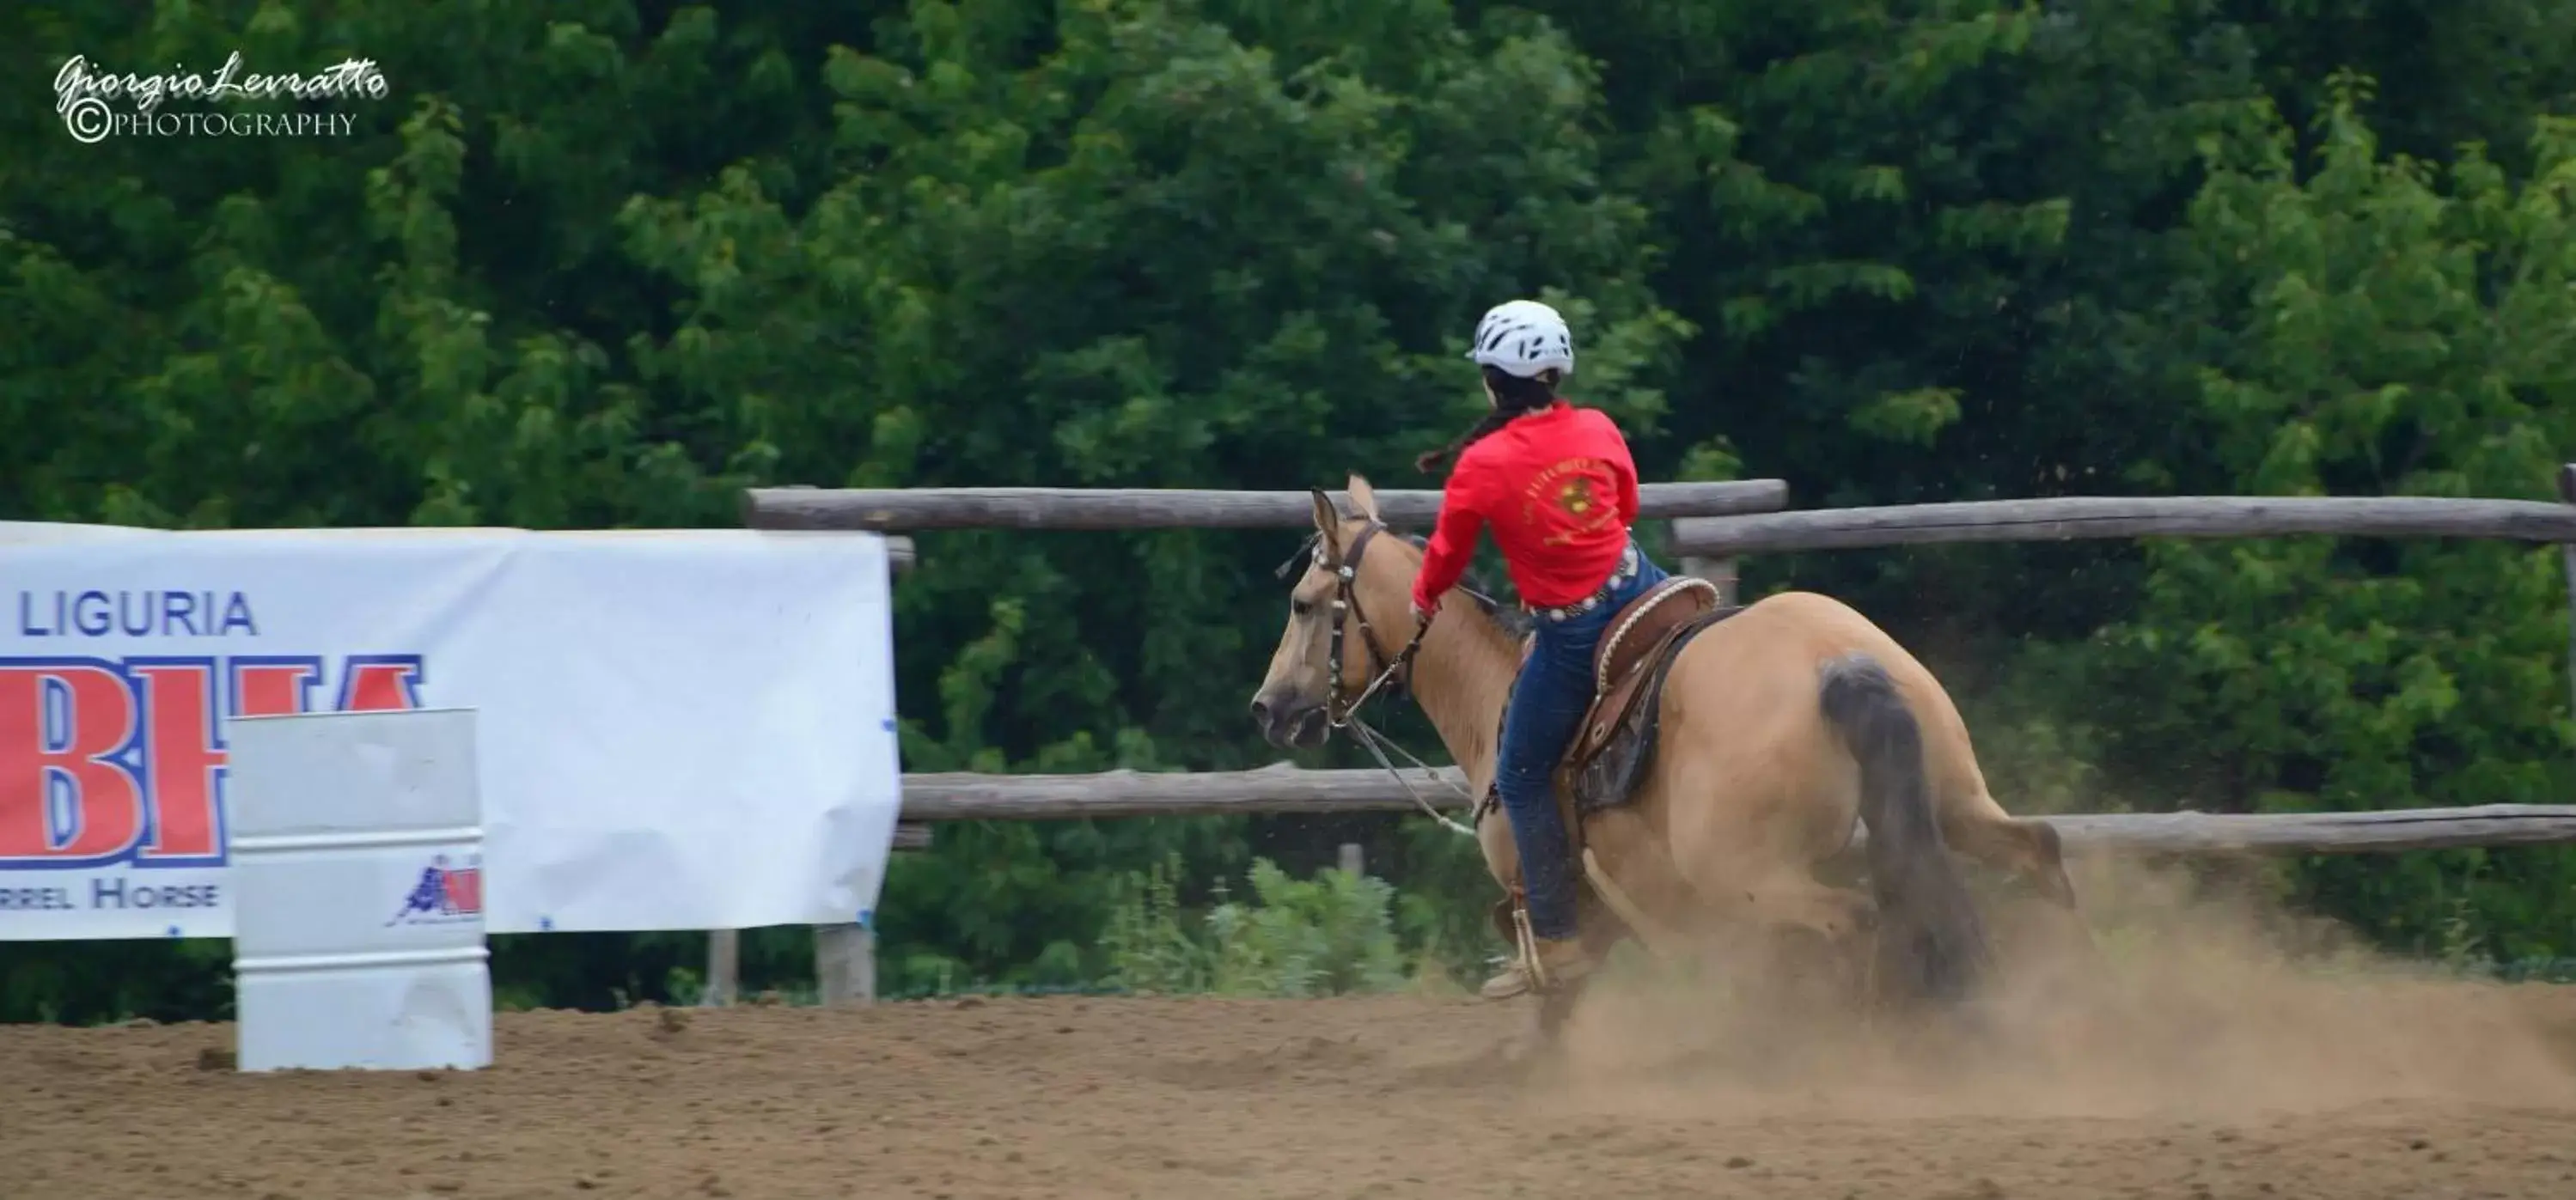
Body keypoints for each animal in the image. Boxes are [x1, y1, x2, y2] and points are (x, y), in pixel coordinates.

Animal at [1236, 473, 2081, 1035]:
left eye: (1302, 604)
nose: (1269, 707)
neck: (1492, 687)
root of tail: (1834, 663)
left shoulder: (1551, 900)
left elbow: (1556, 1000)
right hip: (1950, 803)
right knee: (2034, 848)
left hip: (1751, 873)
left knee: (1859, 918)